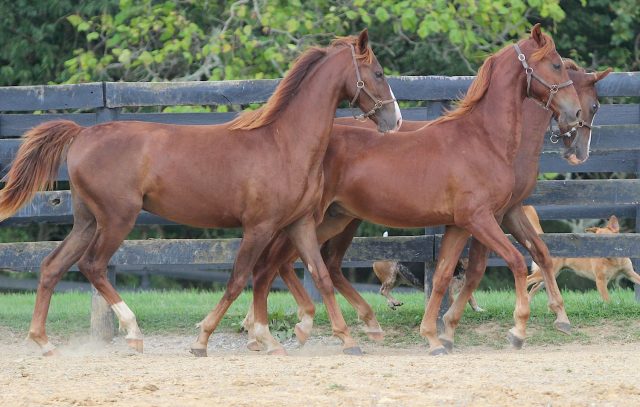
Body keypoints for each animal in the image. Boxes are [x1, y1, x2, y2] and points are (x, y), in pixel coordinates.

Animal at [0, 31, 400, 356]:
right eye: (379, 74)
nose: (394, 121)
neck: (284, 143)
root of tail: (81, 133)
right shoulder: (259, 227)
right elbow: (240, 279)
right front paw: (206, 339)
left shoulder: (299, 223)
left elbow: (318, 276)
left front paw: (346, 340)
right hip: (116, 218)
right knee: (93, 266)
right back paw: (133, 333)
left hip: (86, 220)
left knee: (52, 266)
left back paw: (44, 342)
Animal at [242, 26, 584, 356]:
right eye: (556, 64)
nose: (576, 115)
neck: (482, 139)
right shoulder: (481, 219)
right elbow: (514, 261)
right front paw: (518, 330)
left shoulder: (460, 225)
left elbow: (444, 276)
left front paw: (435, 337)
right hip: (310, 220)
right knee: (274, 265)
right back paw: (278, 333)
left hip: (334, 220)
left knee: (300, 264)